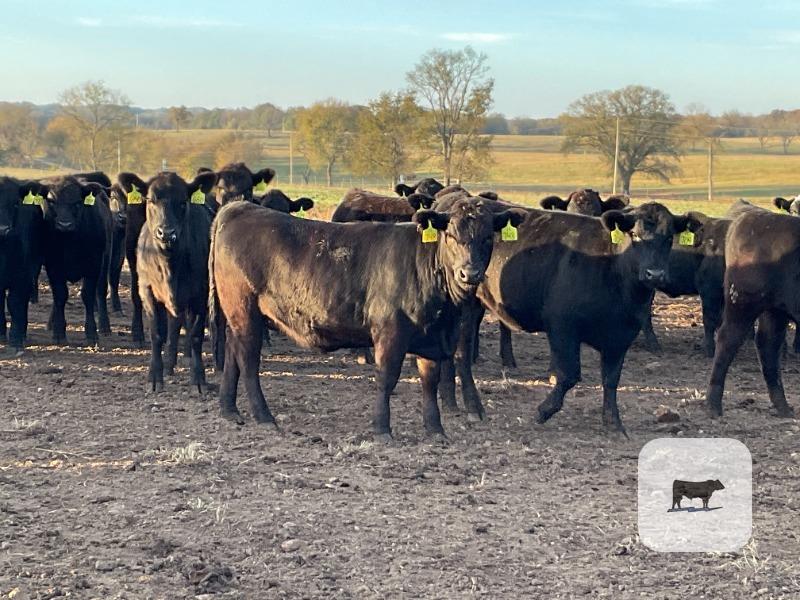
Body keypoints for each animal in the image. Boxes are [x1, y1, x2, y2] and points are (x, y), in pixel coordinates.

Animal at [33, 176, 113, 345]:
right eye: (52, 202)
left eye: (77, 202)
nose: (65, 225)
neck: (70, 242)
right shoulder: (53, 267)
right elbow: (60, 295)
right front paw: (58, 333)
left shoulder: (93, 266)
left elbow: (88, 296)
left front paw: (91, 333)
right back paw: (50, 324)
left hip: (106, 261)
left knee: (101, 291)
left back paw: (105, 327)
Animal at [118, 170, 217, 392]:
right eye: (150, 200)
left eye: (183, 202)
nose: (167, 233)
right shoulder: (147, 291)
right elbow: (157, 334)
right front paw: (154, 377)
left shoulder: (200, 293)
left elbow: (195, 335)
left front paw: (199, 379)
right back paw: (169, 364)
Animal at [208, 197, 525, 439]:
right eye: (450, 236)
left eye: (487, 238)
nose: (469, 273)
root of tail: (239, 207)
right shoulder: (390, 332)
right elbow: (387, 378)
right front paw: (382, 428)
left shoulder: (431, 338)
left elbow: (429, 381)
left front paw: (435, 430)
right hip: (245, 310)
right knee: (248, 360)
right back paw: (263, 416)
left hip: (239, 315)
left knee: (234, 353)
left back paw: (229, 410)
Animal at [438, 199, 701, 434]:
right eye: (635, 235)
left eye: (669, 238)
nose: (655, 274)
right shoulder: (562, 327)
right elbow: (569, 375)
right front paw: (544, 410)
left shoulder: (621, 337)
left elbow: (611, 379)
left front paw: (613, 424)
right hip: (467, 307)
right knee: (462, 354)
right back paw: (473, 407)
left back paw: (450, 402)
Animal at [705, 208, 800, 419]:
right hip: (742, 305)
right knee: (727, 340)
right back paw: (714, 406)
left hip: (775, 310)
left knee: (768, 345)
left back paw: (783, 407)